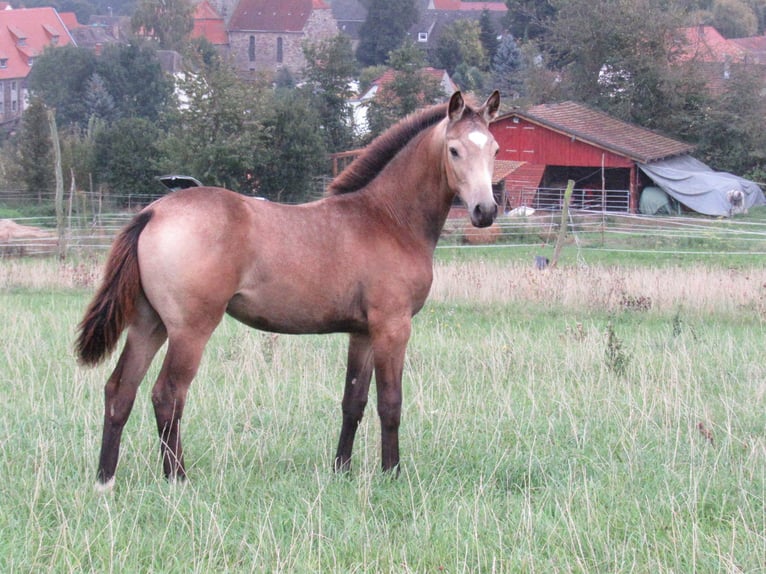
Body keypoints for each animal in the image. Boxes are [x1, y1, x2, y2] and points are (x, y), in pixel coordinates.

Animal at [75, 90, 500, 490]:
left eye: (494, 149)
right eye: (454, 149)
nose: (485, 211)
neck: (387, 218)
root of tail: (154, 211)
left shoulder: (362, 333)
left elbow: (354, 402)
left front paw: (341, 469)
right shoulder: (392, 327)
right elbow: (390, 403)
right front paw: (392, 472)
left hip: (149, 324)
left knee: (119, 390)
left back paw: (104, 479)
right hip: (189, 330)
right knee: (167, 394)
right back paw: (177, 477)